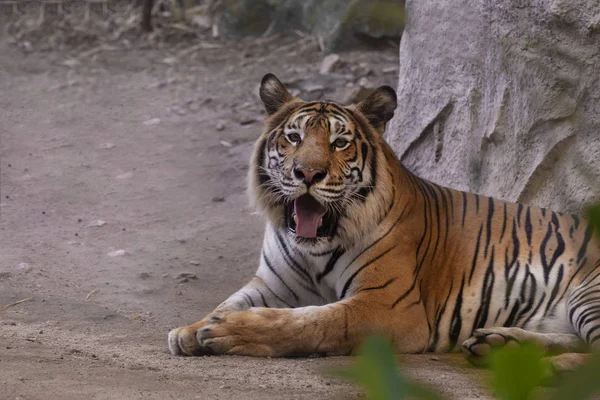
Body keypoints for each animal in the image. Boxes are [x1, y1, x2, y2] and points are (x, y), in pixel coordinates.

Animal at [168, 72, 600, 372]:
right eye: (293, 137)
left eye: (340, 143)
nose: (307, 174)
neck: (314, 247)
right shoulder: (272, 284)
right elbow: (228, 302)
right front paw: (190, 330)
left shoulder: (387, 304)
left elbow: (310, 322)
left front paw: (223, 330)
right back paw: (498, 344)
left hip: (588, 293)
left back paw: (549, 368)